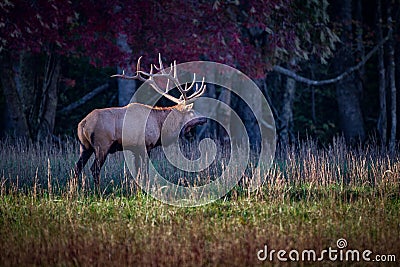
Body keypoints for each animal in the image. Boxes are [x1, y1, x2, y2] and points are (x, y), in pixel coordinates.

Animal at [73, 55, 208, 188]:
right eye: (192, 111)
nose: (205, 118)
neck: (160, 125)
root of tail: (83, 124)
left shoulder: (135, 149)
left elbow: (137, 171)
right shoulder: (146, 145)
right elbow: (145, 170)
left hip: (84, 146)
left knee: (77, 168)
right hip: (102, 145)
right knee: (94, 169)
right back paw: (98, 191)